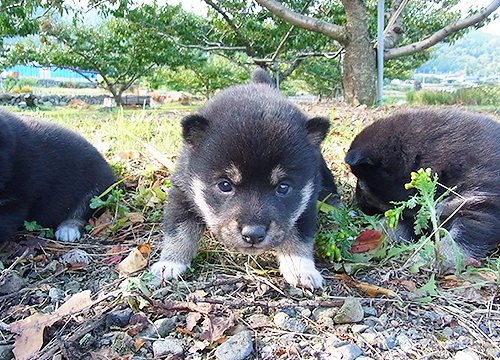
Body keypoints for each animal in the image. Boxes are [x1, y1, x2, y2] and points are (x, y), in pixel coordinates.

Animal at [151, 68, 340, 290]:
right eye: (225, 185)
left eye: (283, 187)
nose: (253, 234)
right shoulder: (182, 193)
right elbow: (179, 231)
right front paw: (170, 263)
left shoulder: (306, 202)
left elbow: (299, 236)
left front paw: (301, 269)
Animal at [346, 108, 500, 260]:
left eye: (360, 181)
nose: (357, 200)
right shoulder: (417, 216)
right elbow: (393, 226)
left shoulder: (480, 208)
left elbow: (454, 243)